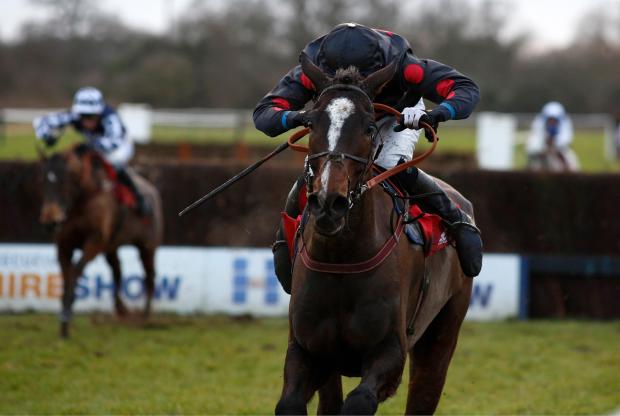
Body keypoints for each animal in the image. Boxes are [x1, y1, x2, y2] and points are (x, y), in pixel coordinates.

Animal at [39, 144, 163, 338]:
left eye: (65, 180)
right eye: (44, 180)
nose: (50, 221)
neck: (83, 200)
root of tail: (152, 188)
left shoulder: (95, 241)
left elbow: (76, 271)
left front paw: (66, 317)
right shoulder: (64, 245)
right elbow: (67, 275)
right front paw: (64, 321)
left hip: (147, 247)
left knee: (149, 276)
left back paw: (144, 315)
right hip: (111, 247)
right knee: (117, 272)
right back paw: (122, 310)